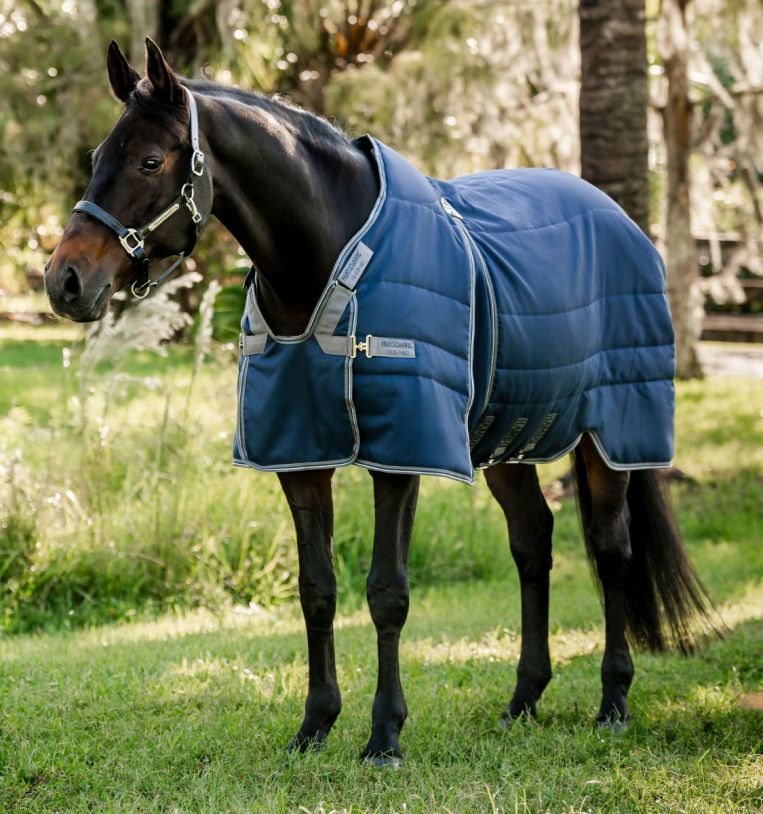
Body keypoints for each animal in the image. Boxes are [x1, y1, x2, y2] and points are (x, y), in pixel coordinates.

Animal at [45, 39, 716, 766]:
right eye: (97, 158)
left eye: (148, 160)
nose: (64, 281)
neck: (328, 260)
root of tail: (621, 219)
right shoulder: (299, 455)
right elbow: (316, 590)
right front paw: (314, 724)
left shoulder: (403, 452)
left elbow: (387, 592)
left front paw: (384, 735)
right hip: (509, 437)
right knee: (533, 542)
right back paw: (522, 700)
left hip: (612, 433)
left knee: (609, 547)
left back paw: (613, 701)